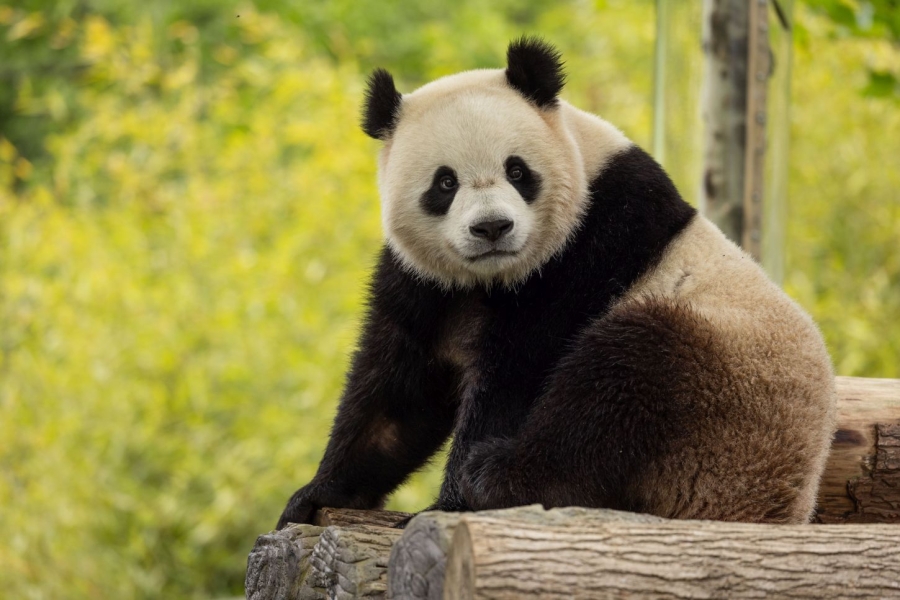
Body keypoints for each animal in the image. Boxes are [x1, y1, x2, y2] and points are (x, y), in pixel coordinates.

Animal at [276, 37, 836, 528]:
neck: (491, 278)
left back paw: (497, 476)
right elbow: (399, 391)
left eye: (517, 171)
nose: (492, 228)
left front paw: (450, 503)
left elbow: (517, 374)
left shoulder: (587, 247)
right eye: (445, 182)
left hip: (724, 397)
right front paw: (316, 495)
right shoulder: (426, 282)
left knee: (621, 383)